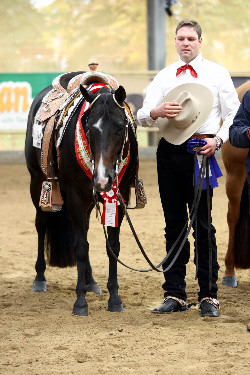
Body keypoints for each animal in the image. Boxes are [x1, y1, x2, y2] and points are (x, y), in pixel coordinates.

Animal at [25, 83, 138, 318]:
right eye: (89, 128)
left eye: (120, 127)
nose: (103, 180)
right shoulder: (75, 197)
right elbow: (80, 248)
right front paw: (80, 301)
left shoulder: (119, 196)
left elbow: (112, 246)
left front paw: (114, 298)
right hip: (38, 183)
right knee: (41, 225)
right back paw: (40, 278)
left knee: (83, 231)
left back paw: (91, 281)